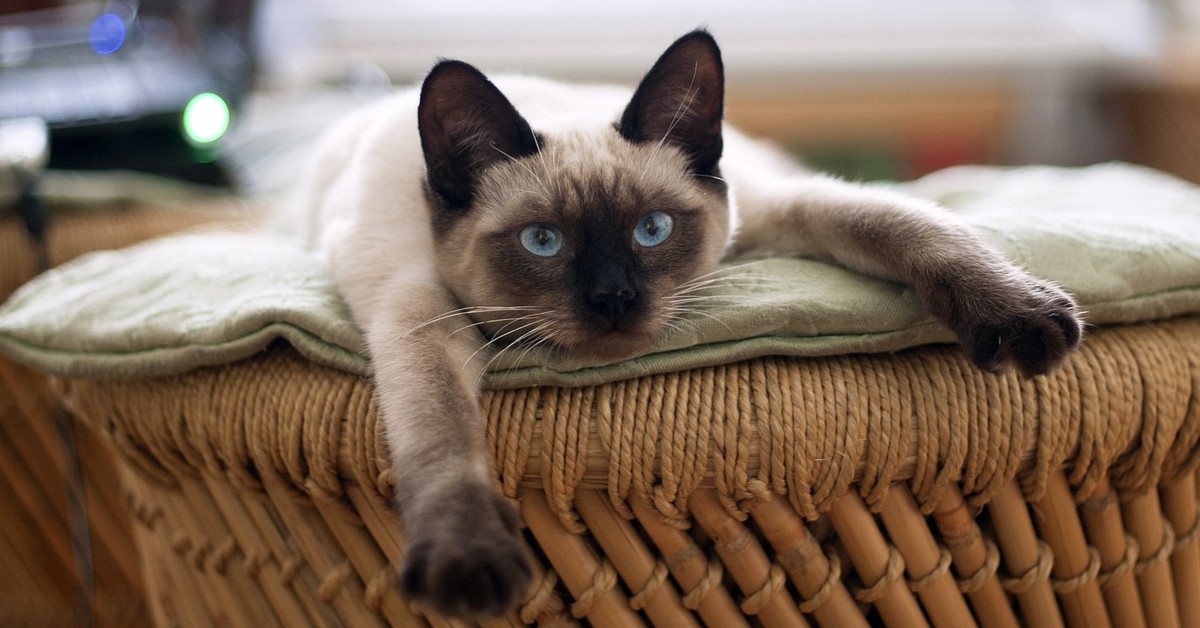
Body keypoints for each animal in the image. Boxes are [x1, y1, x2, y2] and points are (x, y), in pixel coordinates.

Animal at [297, 28, 1080, 619]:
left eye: (653, 230)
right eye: (543, 242)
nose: (613, 299)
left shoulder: (779, 212)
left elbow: (904, 225)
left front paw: (1021, 315)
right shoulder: (418, 314)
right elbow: (441, 431)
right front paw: (468, 562)